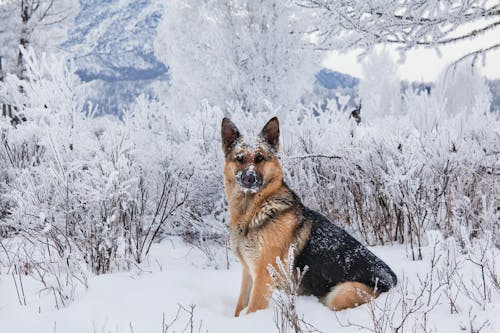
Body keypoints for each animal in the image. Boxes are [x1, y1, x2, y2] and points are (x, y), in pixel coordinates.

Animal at [221, 117, 396, 316]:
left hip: (340, 294)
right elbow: (239, 307)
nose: (249, 179)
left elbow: (251, 309)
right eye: (240, 158)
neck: (255, 210)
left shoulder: (263, 277)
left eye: (259, 158)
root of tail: (393, 281)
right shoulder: (248, 273)